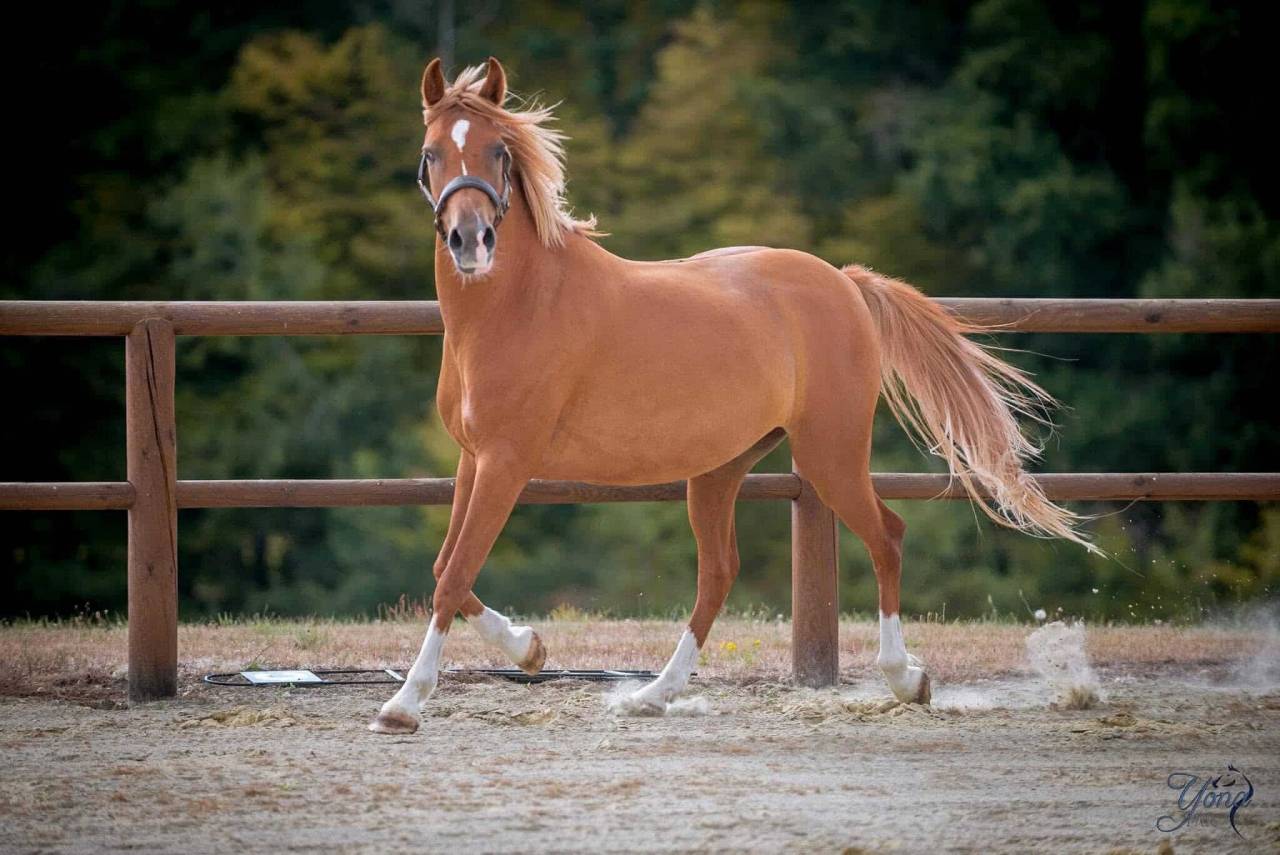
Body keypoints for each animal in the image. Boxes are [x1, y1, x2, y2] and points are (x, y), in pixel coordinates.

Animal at [368, 57, 1095, 734]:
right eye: (431, 153)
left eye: (498, 150)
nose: (470, 241)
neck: (517, 306)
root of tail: (845, 282)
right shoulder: (474, 458)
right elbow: (446, 565)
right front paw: (530, 648)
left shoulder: (507, 461)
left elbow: (454, 572)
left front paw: (404, 703)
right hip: (722, 468)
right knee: (719, 572)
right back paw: (650, 695)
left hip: (829, 452)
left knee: (886, 535)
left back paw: (905, 678)